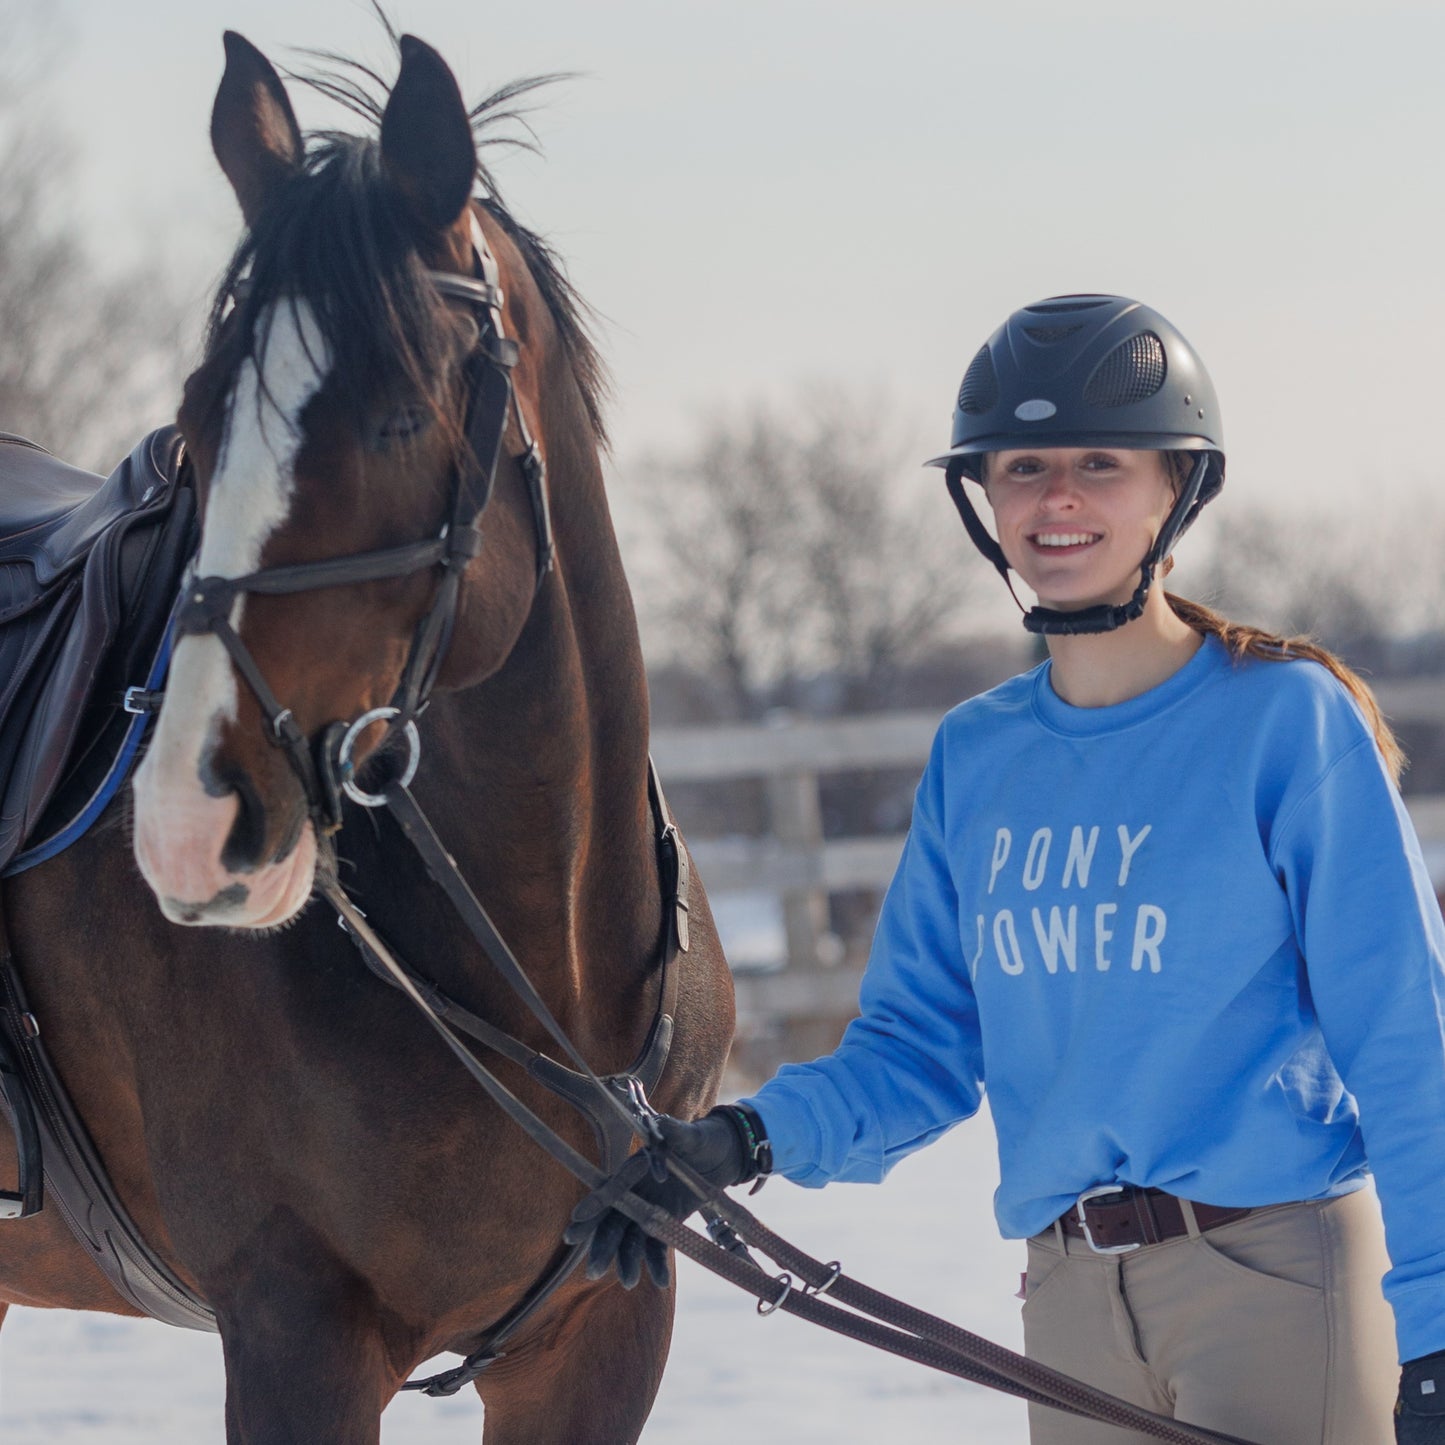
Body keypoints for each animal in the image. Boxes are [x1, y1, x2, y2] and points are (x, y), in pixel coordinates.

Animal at [0, 25, 734, 1445]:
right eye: (200, 423)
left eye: (398, 414)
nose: (191, 824)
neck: (534, 968)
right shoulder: (297, 1337)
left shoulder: (602, 1338)